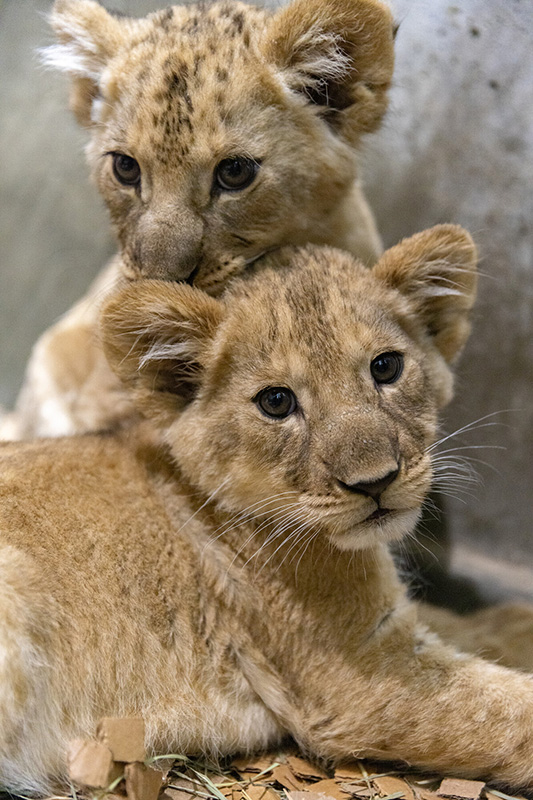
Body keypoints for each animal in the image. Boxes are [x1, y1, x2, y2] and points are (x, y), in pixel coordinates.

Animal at [2, 226, 533, 795]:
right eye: (276, 402)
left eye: (386, 367)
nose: (376, 482)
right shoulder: (363, 676)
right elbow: (508, 713)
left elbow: (464, 624)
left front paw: (518, 619)